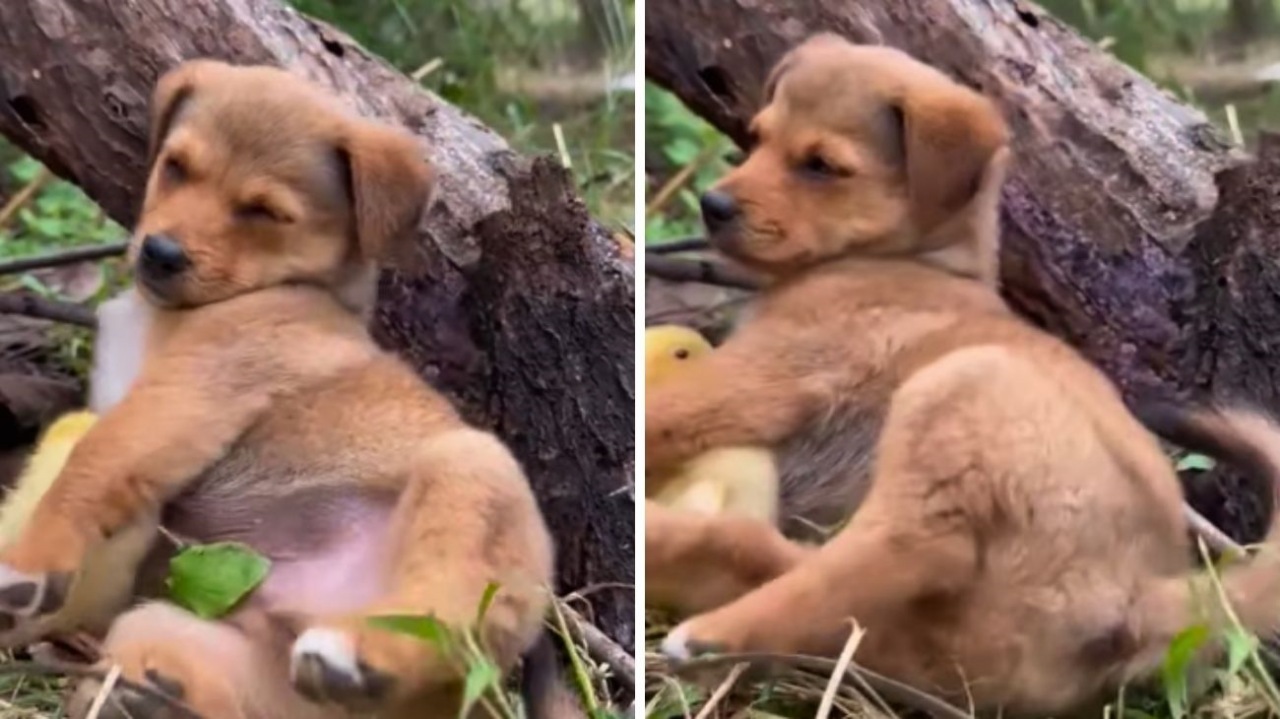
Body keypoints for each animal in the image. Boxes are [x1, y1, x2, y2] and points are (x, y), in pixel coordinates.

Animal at [0, 61, 576, 716]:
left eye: (264, 212)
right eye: (176, 167)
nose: (160, 253)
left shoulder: (185, 397)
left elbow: (89, 467)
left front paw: (30, 561)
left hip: (470, 469)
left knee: (442, 618)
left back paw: (357, 654)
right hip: (189, 638)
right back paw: (151, 692)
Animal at [650, 36, 1280, 711]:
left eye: (820, 165)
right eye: (759, 137)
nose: (711, 206)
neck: (916, 260)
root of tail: (1145, 598)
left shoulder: (755, 377)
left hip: (960, 390)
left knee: (915, 546)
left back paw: (709, 627)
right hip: (935, 647)